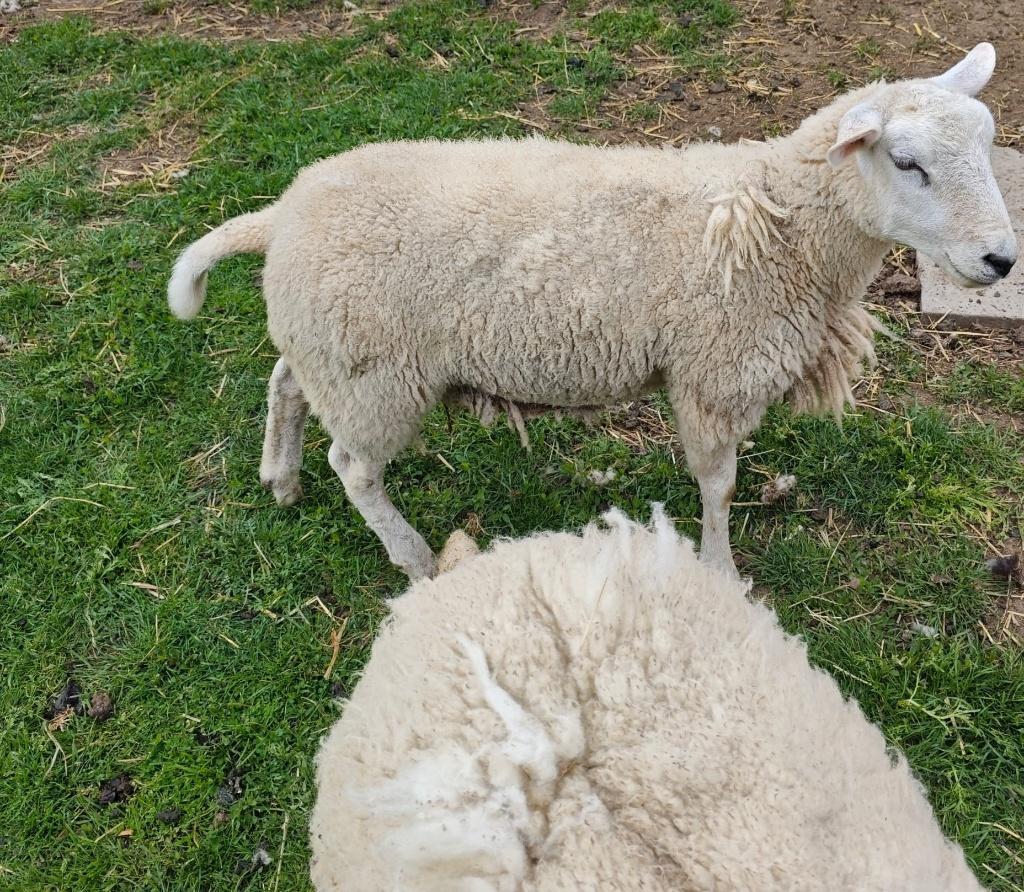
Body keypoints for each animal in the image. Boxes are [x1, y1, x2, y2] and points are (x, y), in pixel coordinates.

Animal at [167, 43, 1017, 580]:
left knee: (285, 382)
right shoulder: (714, 374)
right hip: (378, 374)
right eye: (907, 164)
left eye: (987, 147)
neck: (783, 220)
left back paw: (281, 477)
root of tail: (282, 213)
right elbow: (719, 486)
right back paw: (411, 556)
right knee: (355, 467)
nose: (1001, 261)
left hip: (335, 348)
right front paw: (719, 569)